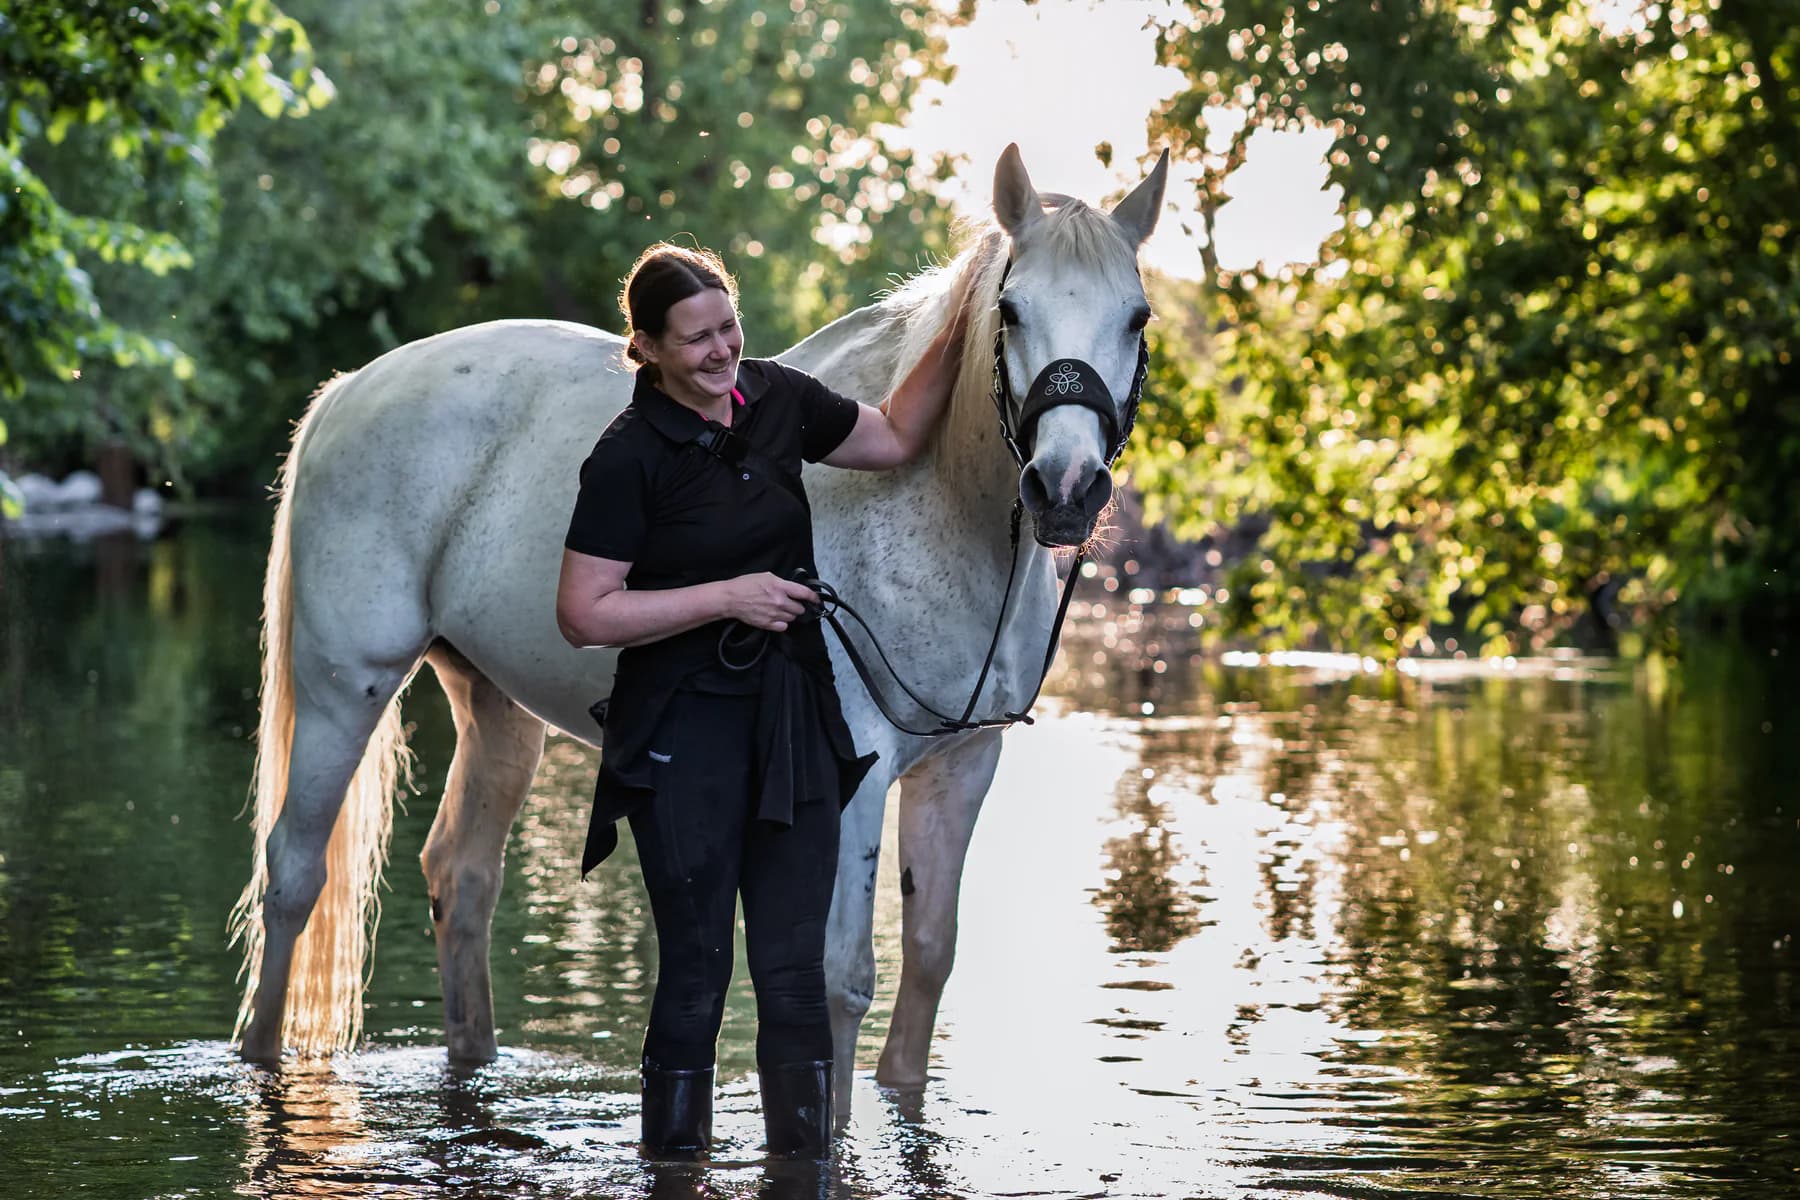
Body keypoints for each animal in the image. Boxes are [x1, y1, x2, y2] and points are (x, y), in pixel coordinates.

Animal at [229, 143, 1169, 1106]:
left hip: (494, 706)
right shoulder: (858, 772)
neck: (936, 506)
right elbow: (840, 979)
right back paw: (260, 1058)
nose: (1066, 488)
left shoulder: (962, 765)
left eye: (1136, 317)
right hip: (346, 686)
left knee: (461, 879)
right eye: (1012, 312)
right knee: (294, 875)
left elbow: (929, 962)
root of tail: (350, 388)